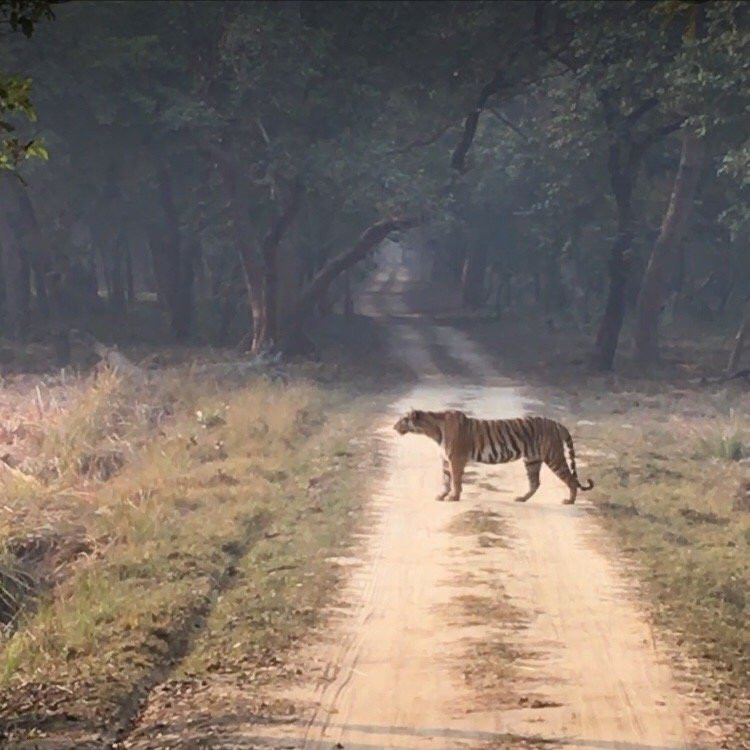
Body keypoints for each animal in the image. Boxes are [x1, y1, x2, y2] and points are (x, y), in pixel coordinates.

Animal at [394, 412, 592, 506]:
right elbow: (445, 479)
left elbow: (455, 480)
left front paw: (454, 497)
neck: (432, 431)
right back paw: (522, 498)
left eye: (403, 419)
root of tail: (557, 423)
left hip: (553, 457)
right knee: (535, 483)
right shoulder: (445, 460)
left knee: (570, 479)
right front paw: (442, 495)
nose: (394, 426)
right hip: (532, 460)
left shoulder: (456, 459)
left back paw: (570, 501)